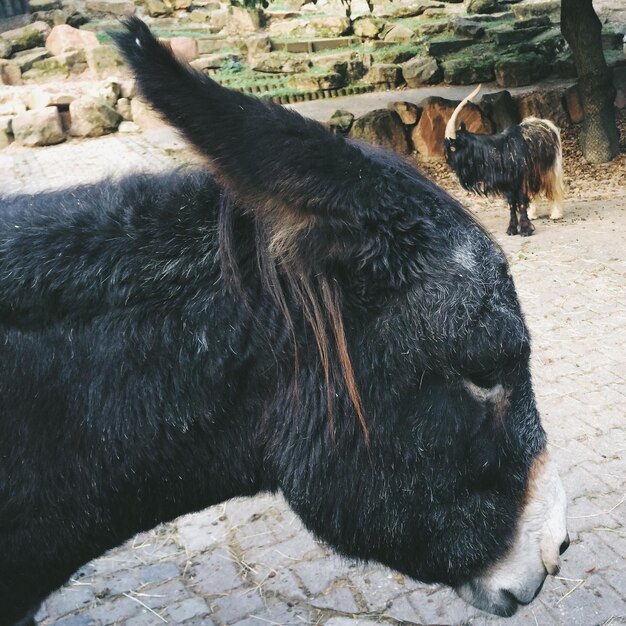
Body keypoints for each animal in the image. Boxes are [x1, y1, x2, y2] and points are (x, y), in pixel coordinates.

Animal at [442, 84, 564, 235]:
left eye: (452, 148)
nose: (448, 161)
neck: (495, 152)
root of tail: (544, 122)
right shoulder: (508, 185)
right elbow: (512, 204)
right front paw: (512, 229)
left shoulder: (519, 181)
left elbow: (521, 202)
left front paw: (525, 230)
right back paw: (533, 214)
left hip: (551, 168)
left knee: (554, 188)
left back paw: (556, 214)